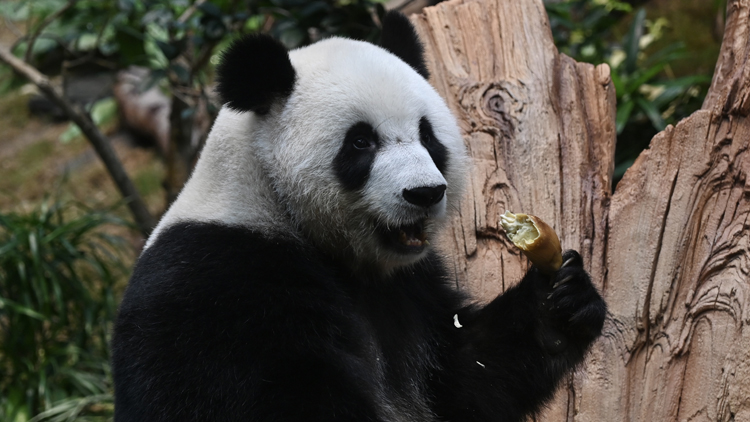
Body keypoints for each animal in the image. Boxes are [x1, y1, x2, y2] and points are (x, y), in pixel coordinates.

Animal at [114, 10, 612, 422]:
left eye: (427, 135)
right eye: (360, 142)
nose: (425, 193)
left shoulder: (410, 290)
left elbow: (466, 380)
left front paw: (563, 300)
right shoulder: (223, 286)